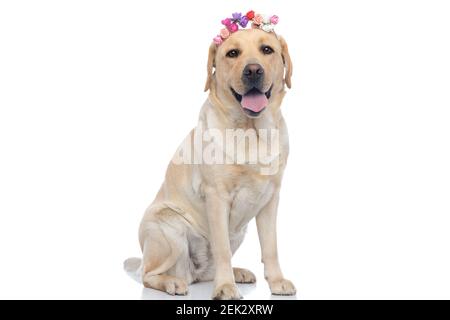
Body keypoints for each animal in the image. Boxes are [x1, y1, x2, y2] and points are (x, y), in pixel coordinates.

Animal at [125, 16, 298, 300]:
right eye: (232, 53)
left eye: (267, 50)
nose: (253, 70)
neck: (250, 131)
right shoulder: (217, 197)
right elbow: (221, 248)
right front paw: (225, 287)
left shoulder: (271, 198)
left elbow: (270, 246)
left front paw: (276, 282)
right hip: (168, 227)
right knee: (148, 275)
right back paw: (173, 282)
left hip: (239, 231)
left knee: (202, 272)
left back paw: (237, 272)